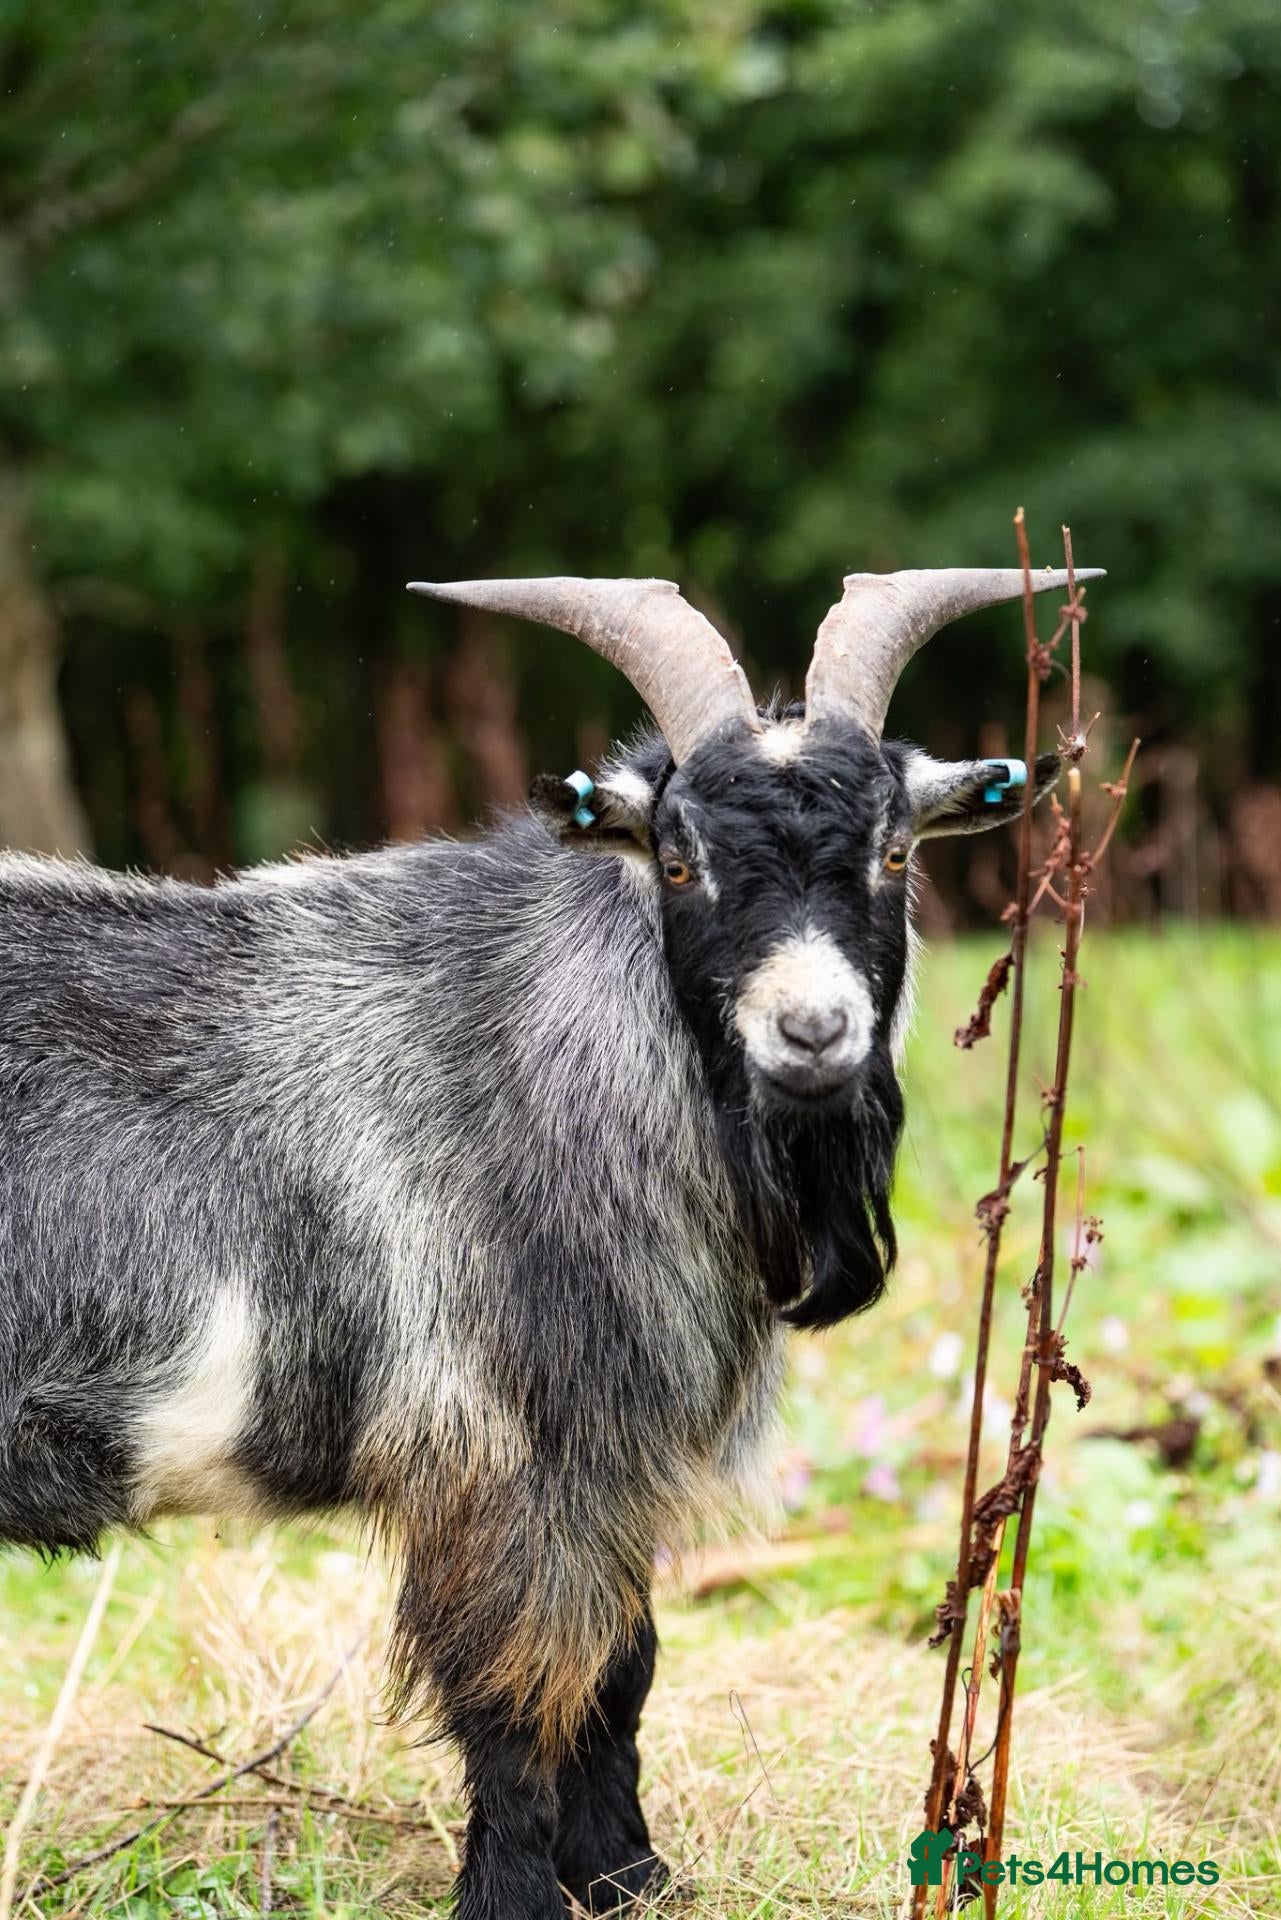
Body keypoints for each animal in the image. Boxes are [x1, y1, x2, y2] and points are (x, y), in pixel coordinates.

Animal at [0, 563, 1099, 1916]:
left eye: (895, 850)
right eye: (677, 860)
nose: (813, 1030)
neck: (537, 1043)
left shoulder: (608, 1464)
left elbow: (623, 1673)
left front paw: (631, 1876)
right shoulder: (507, 1456)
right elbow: (517, 1699)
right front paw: (517, 1893)